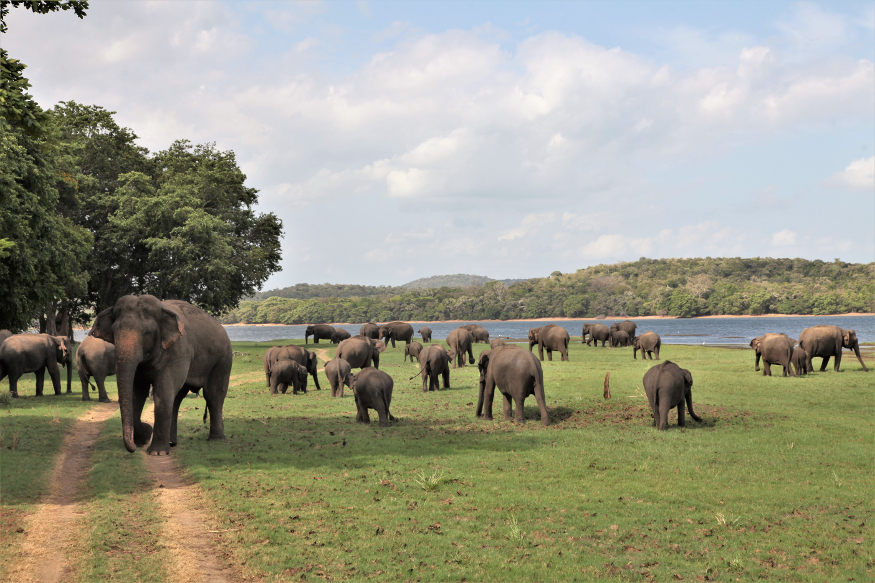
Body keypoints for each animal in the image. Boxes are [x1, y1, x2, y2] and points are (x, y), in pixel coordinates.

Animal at [91, 296, 233, 456]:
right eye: (114, 332)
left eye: (147, 332)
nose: (133, 448)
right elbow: (137, 392)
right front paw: (145, 436)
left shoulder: (178, 351)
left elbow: (162, 391)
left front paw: (156, 452)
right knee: (177, 398)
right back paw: (171, 443)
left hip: (223, 359)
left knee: (213, 395)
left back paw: (216, 439)